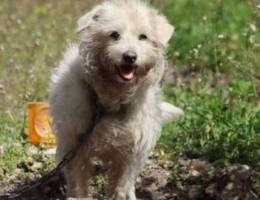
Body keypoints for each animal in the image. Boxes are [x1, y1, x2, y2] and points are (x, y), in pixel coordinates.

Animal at [48, 0, 183, 199]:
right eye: (114, 34)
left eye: (143, 37)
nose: (130, 56)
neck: (112, 100)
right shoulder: (75, 147)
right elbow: (78, 185)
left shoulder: (130, 154)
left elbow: (121, 186)